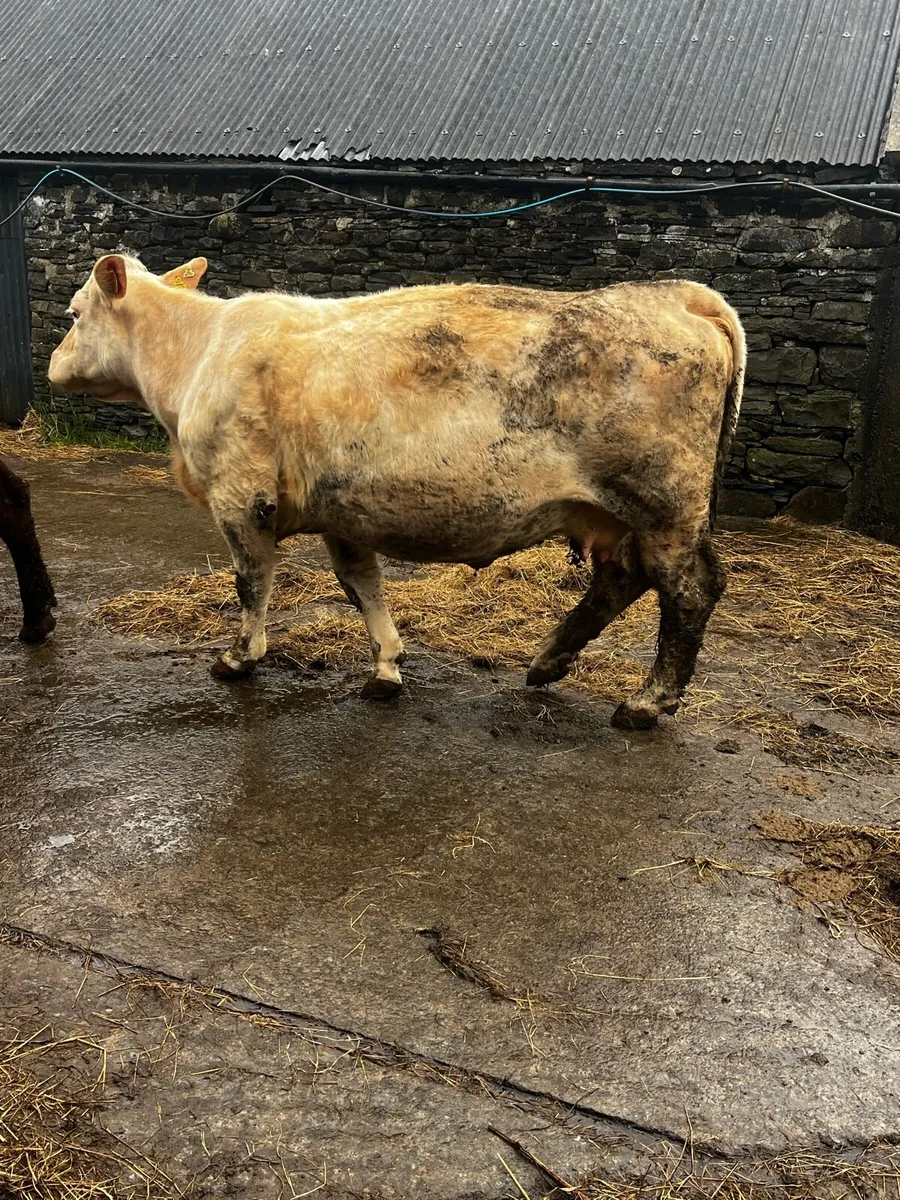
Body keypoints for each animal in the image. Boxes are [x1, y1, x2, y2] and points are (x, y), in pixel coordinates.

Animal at [49, 253, 744, 729]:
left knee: (689, 589)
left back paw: (646, 703)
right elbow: (362, 584)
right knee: (621, 579)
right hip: (618, 512)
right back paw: (548, 661)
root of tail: (674, 295)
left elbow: (252, 583)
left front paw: (239, 658)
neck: (201, 354)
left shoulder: (242, 497)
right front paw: (386, 664)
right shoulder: (341, 511)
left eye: (74, 314)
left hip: (664, 505)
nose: (52, 365)